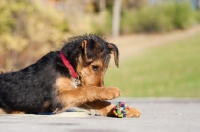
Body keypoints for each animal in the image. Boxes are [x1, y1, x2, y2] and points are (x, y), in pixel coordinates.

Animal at [0, 34, 141, 117]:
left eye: (105, 69)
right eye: (95, 67)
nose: (102, 87)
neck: (68, 65)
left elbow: (96, 101)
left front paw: (127, 110)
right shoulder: (57, 99)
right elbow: (86, 90)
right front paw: (109, 91)